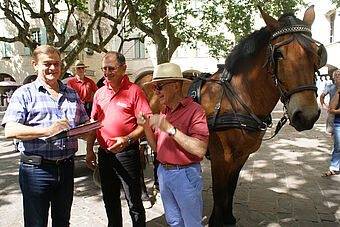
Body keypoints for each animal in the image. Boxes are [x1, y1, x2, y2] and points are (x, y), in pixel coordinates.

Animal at [135, 6, 324, 226]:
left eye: (316, 52)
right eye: (278, 54)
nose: (307, 115)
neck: (237, 97)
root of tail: (144, 80)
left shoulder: (240, 156)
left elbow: (230, 188)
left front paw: (228, 217)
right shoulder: (221, 157)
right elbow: (220, 192)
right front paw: (216, 220)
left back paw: (158, 186)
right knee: (139, 161)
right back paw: (144, 194)